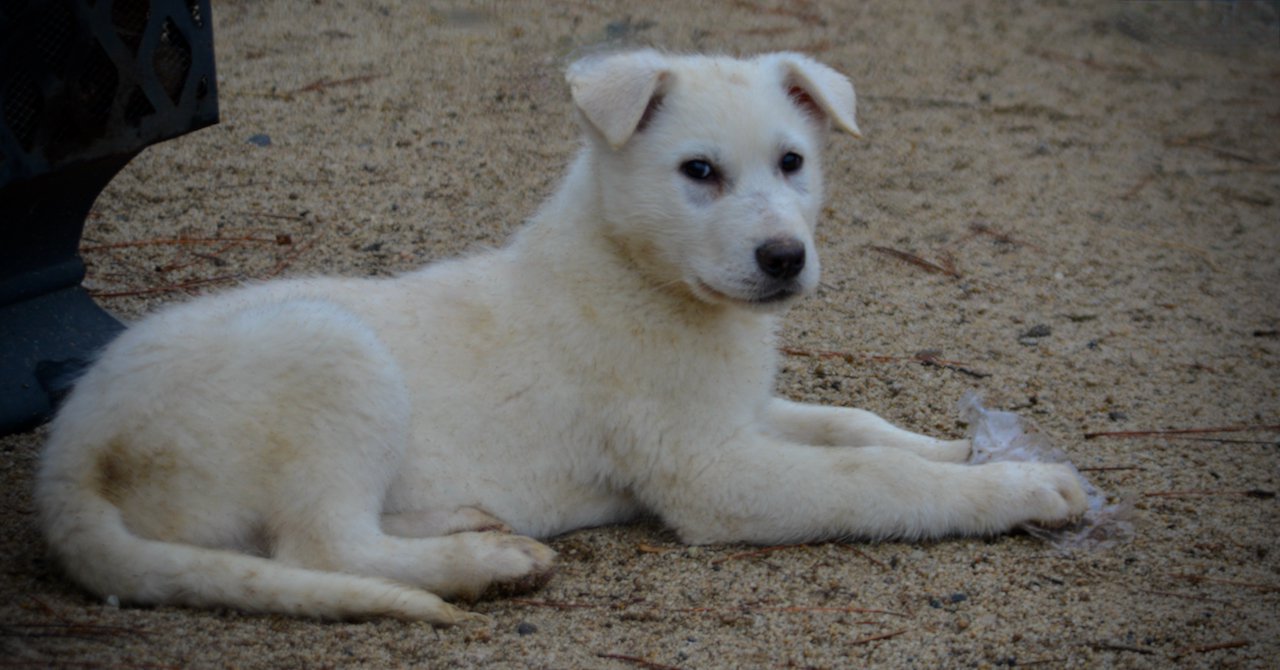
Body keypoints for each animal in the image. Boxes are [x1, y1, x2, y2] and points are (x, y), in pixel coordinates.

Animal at [35, 51, 1085, 625]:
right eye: (698, 171)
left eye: (793, 162)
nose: (785, 258)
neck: (640, 274)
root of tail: (71, 454)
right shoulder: (713, 473)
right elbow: (877, 479)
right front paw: (1019, 490)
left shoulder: (741, 413)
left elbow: (856, 425)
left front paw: (969, 447)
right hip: (330, 350)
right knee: (320, 544)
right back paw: (485, 566)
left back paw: (469, 524)